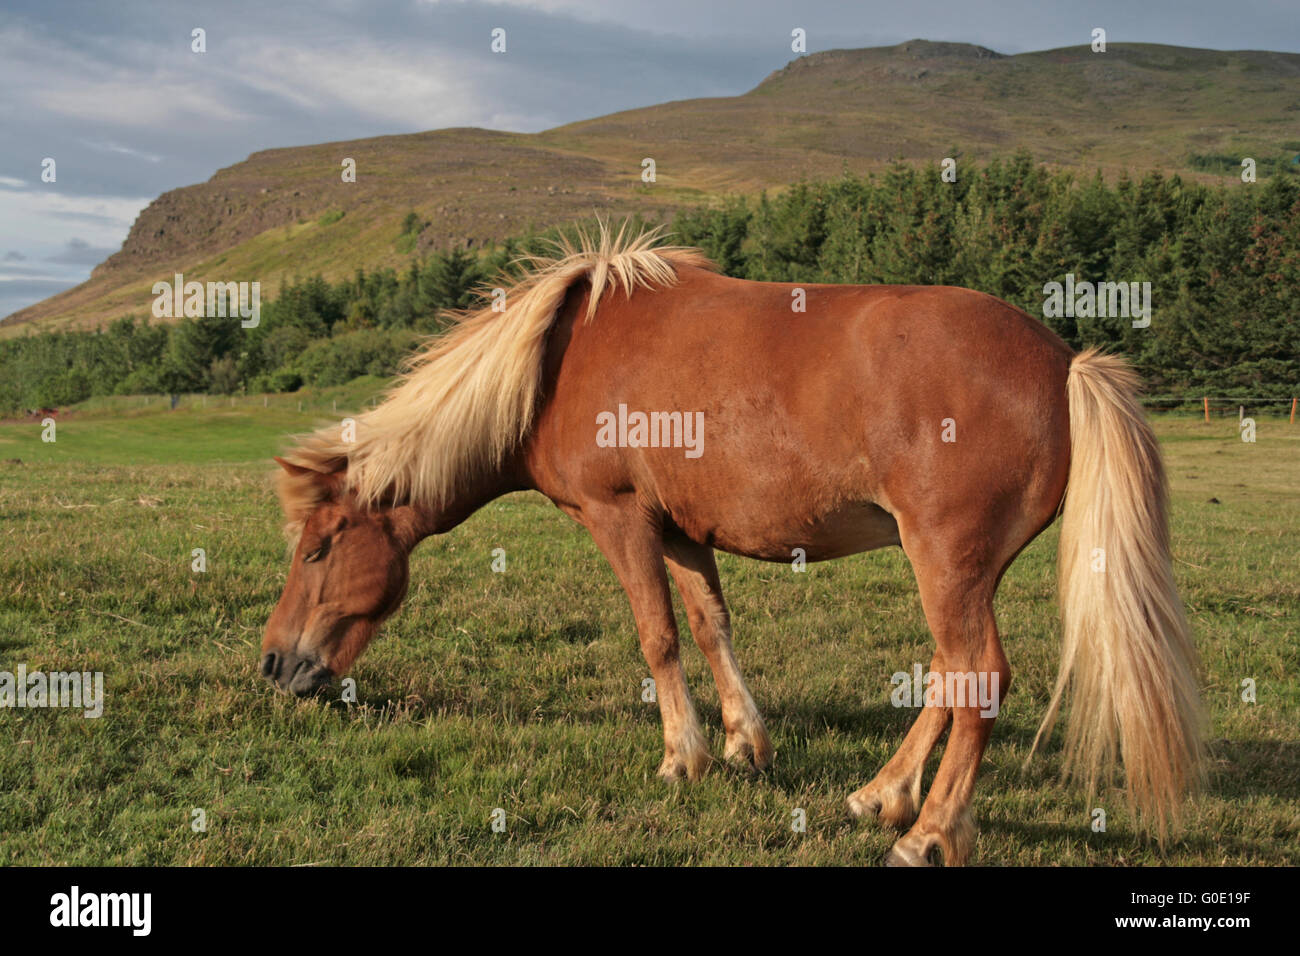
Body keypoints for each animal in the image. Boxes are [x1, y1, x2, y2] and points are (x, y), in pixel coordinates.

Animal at [258, 223, 1201, 868]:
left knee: (979, 677)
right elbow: (711, 628)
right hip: (958, 571)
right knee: (949, 671)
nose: (274, 664)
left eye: (318, 548)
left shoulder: (621, 520)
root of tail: (1064, 361)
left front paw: (685, 757)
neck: (557, 360)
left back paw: (926, 832)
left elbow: (658, 637)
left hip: (947, 562)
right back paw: (885, 795)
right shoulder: (682, 532)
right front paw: (747, 742)